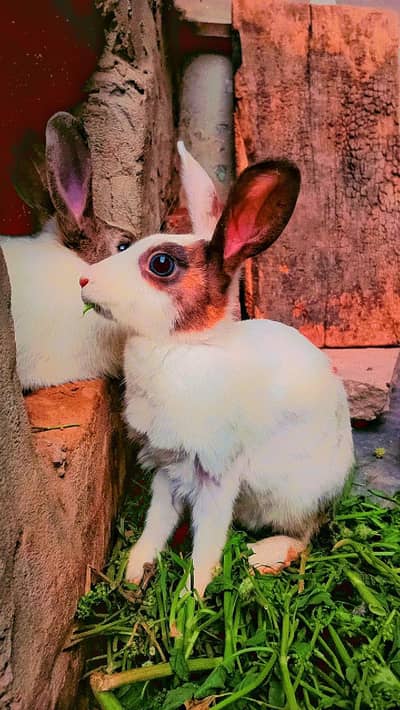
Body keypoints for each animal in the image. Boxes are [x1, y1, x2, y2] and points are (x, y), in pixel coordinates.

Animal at [79, 145, 354, 596]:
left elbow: (208, 538)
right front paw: (136, 571)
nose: (84, 280)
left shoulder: (217, 475)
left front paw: (190, 597)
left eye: (161, 264)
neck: (183, 347)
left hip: (296, 497)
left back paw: (262, 557)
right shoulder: (167, 467)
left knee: (305, 537)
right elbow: (156, 521)